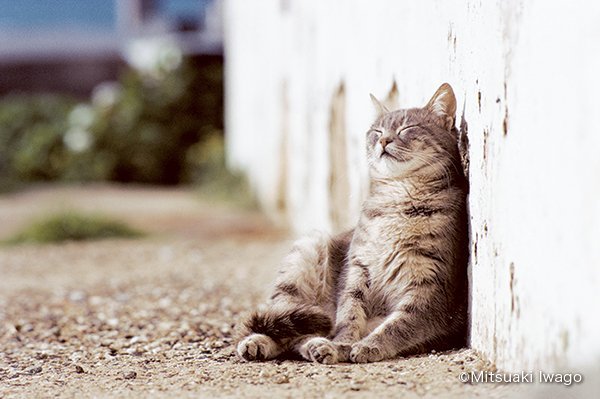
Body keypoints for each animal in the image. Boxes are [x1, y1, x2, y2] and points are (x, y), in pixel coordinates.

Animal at [234, 83, 468, 364]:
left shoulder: (431, 288)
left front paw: (367, 345)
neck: (399, 197)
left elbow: (397, 325)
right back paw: (260, 342)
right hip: (305, 255)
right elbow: (349, 316)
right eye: (377, 131)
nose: (384, 140)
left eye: (406, 128)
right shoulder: (357, 269)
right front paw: (342, 344)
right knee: (287, 325)